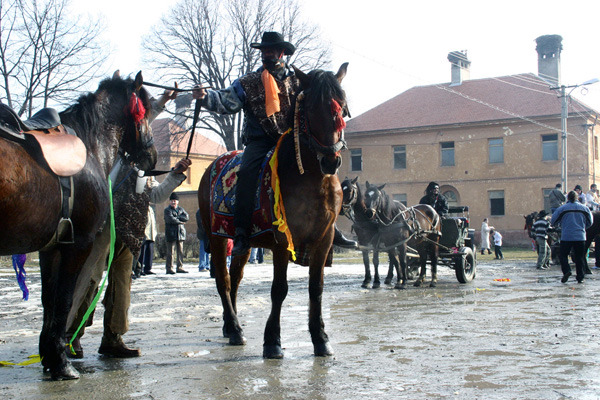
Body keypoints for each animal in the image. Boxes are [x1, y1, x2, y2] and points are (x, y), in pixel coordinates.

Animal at [0, 72, 157, 382]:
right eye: (145, 112)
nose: (152, 156)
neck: (89, 147)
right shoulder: (78, 243)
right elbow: (64, 301)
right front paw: (62, 362)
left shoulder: (51, 247)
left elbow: (48, 302)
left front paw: (49, 356)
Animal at [198, 63, 346, 360]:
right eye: (312, 108)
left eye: (342, 106)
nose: (330, 160)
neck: (313, 179)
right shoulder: (281, 239)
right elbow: (279, 289)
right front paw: (273, 341)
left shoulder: (324, 239)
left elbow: (316, 288)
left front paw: (320, 338)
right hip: (217, 238)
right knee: (223, 281)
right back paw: (235, 329)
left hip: (242, 244)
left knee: (235, 278)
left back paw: (229, 326)